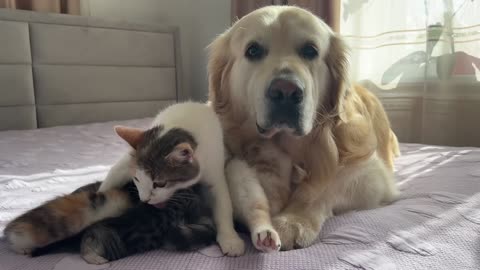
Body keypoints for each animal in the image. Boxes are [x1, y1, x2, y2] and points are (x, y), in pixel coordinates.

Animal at [99, 100, 246, 255]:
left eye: (160, 184)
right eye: (137, 179)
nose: (145, 200)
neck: (185, 128)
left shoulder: (214, 168)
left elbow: (223, 203)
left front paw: (230, 238)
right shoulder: (126, 163)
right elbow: (112, 177)